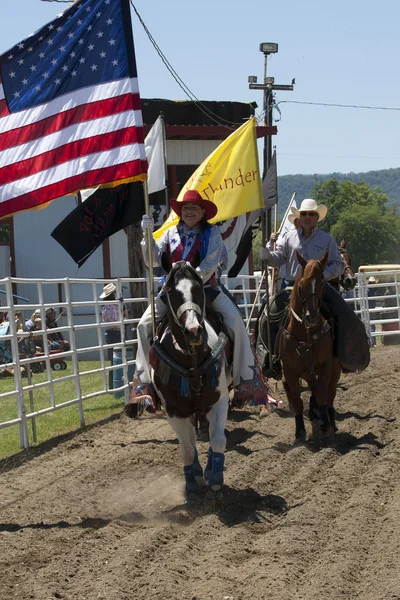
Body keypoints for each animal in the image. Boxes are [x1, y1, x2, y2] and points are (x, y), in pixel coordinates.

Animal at [282, 251, 340, 442]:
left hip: (335, 371)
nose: (311, 317)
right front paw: (300, 431)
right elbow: (297, 401)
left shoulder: (325, 367)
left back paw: (330, 421)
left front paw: (326, 426)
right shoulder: (290, 372)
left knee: (329, 395)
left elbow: (322, 397)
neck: (305, 334)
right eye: (301, 285)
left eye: (321, 283)